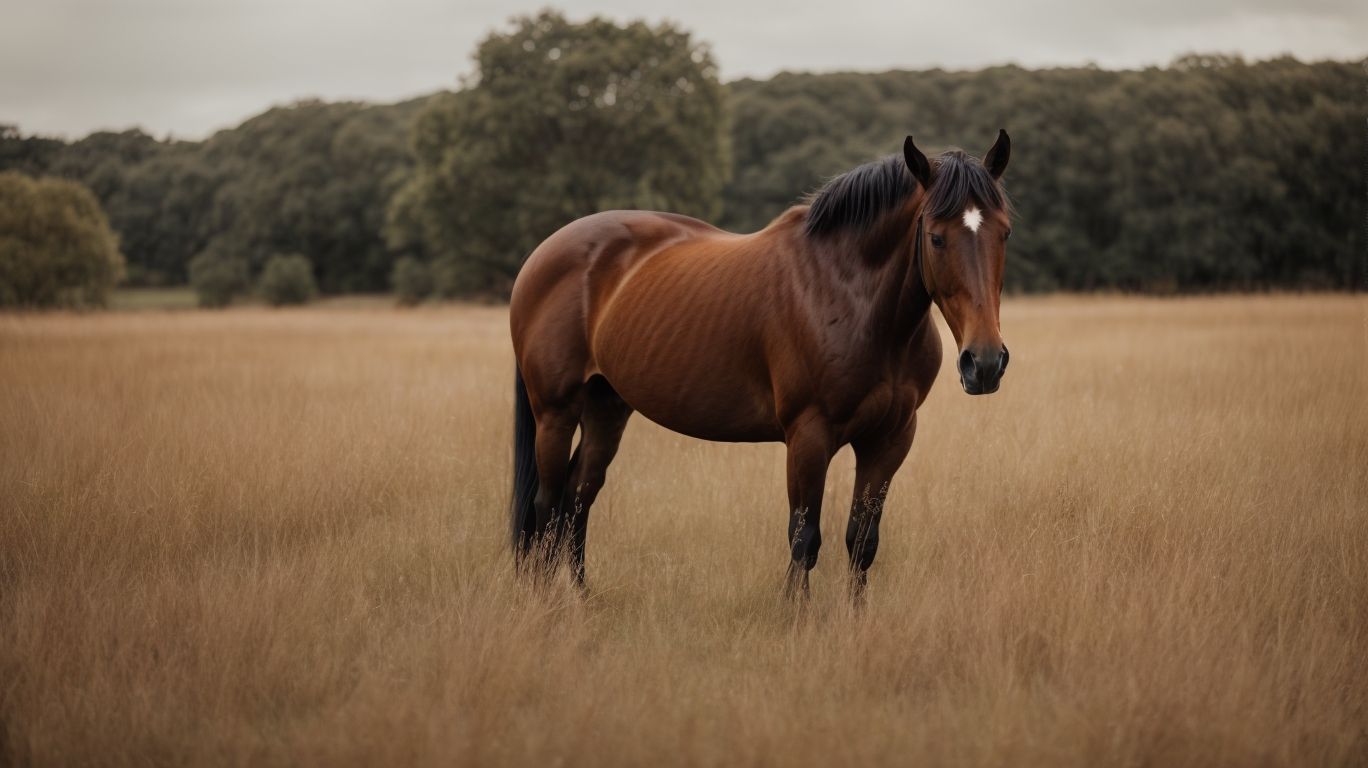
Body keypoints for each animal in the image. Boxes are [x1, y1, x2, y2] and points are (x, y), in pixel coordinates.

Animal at [508, 130, 1013, 599]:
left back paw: (580, 599)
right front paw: (796, 619)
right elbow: (804, 539)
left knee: (579, 496)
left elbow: (862, 542)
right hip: (555, 412)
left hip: (607, 407)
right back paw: (543, 603)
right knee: (546, 504)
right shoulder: (808, 435)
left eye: (1004, 232)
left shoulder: (890, 439)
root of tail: (544, 254)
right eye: (936, 237)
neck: (851, 297)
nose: (985, 362)